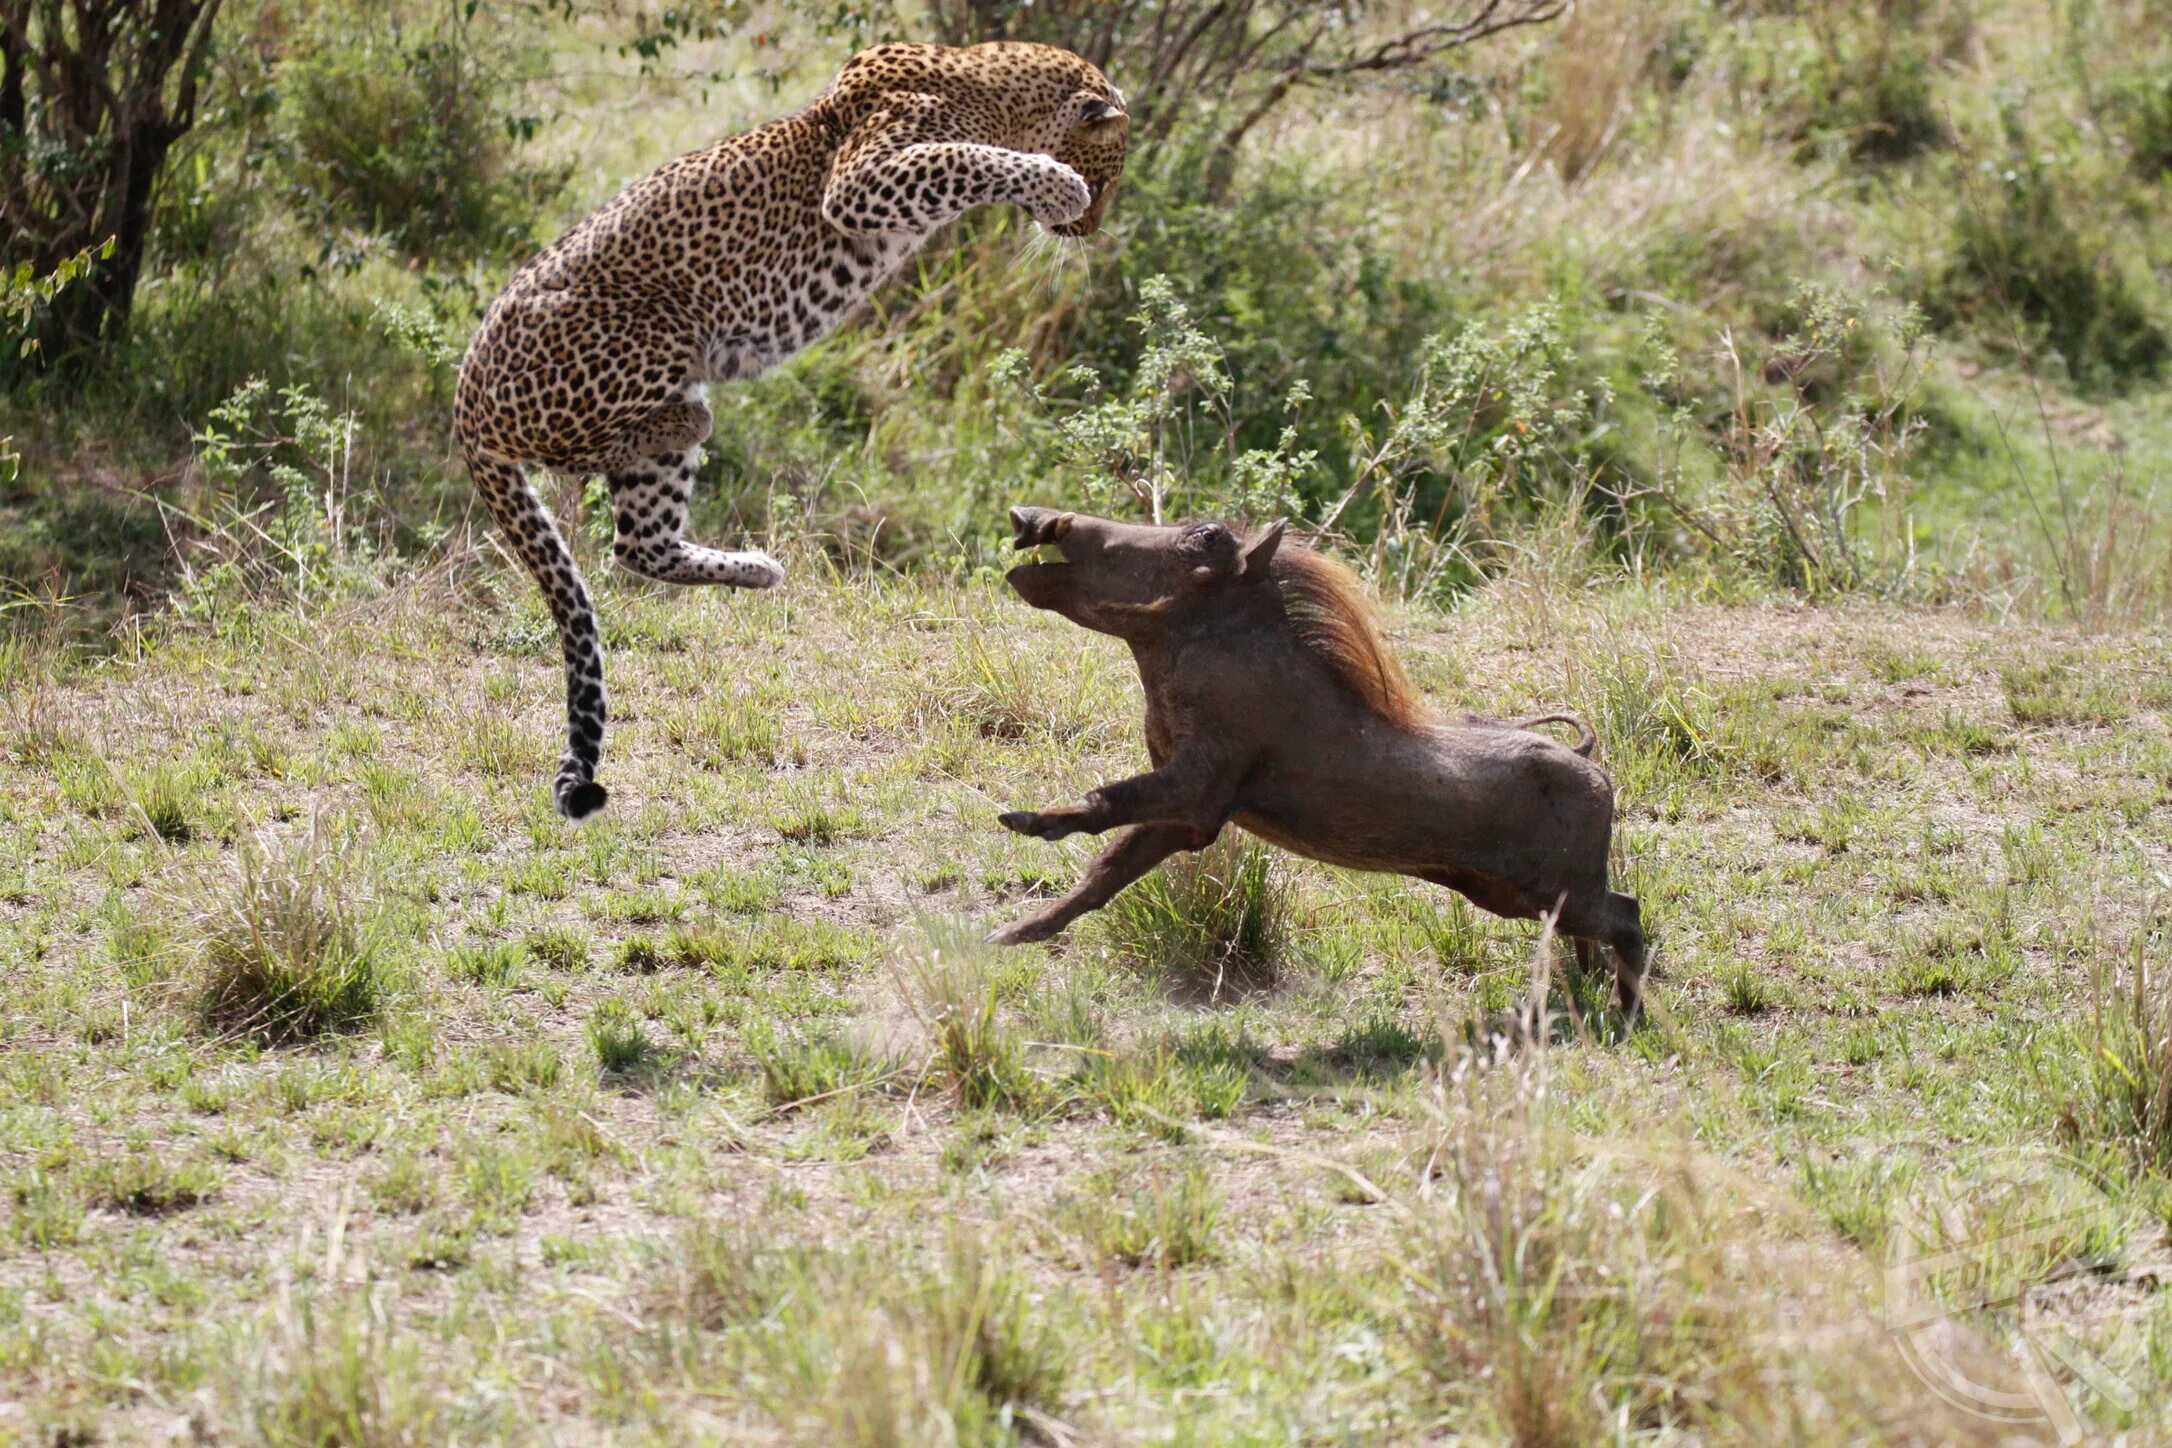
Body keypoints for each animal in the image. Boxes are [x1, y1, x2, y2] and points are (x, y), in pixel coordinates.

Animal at [458, 36, 1138, 816]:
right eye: (1107, 174)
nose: (1089, 228)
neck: (990, 91)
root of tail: (464, 389)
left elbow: (970, 157)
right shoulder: (864, 178)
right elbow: (967, 158)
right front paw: (1055, 184)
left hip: (646, 462)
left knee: (638, 544)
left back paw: (756, 565)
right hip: (651, 333)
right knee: (581, 448)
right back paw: (687, 417)